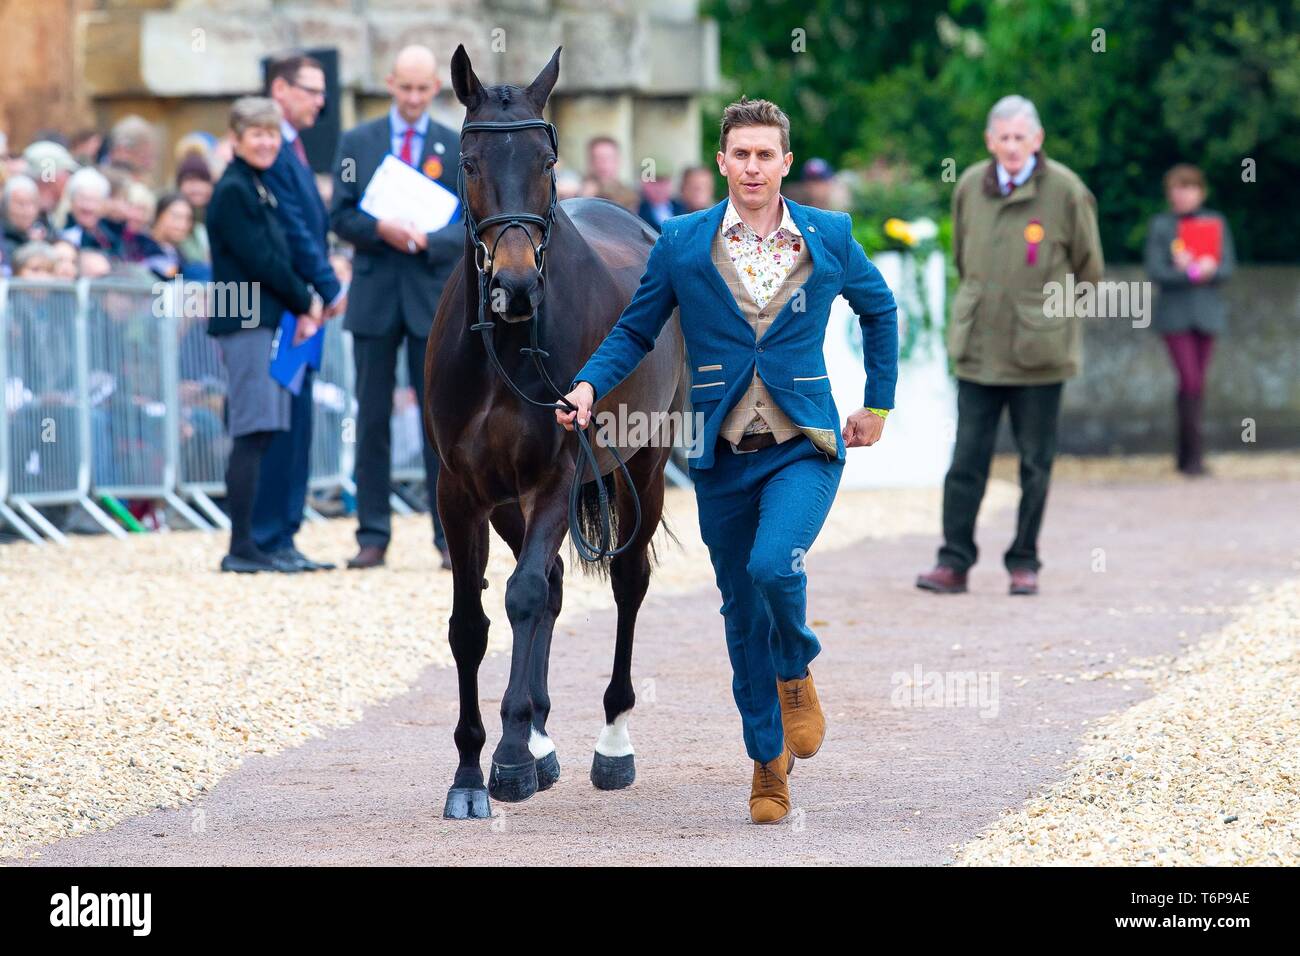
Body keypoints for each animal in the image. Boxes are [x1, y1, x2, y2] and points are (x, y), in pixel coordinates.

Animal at [424, 44, 686, 818]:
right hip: (511, 500)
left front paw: (509, 757)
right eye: (469, 160)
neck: (505, 350)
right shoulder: (461, 490)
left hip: (643, 468)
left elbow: (523, 597)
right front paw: (472, 771)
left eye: (546, 159)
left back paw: (610, 743)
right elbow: (473, 623)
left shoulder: (556, 476)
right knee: (555, 580)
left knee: (624, 582)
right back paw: (542, 739)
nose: (514, 287)